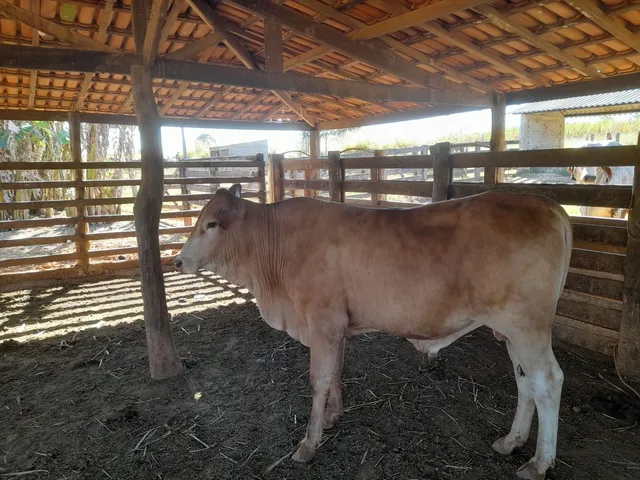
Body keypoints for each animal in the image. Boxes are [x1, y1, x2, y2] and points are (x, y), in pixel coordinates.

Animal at [175, 185, 572, 480]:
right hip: (510, 333)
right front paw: (333, 415)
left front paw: (308, 443)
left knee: (548, 382)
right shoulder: (337, 327)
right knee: (525, 383)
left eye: (211, 224)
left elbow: (318, 379)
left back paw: (539, 462)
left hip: (528, 326)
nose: (178, 260)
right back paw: (511, 441)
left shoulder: (322, 322)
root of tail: (548, 204)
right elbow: (336, 371)